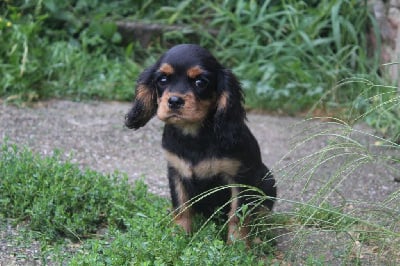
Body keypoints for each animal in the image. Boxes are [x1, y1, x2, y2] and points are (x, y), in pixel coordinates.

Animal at [126, 44, 276, 244]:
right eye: (162, 79)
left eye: (200, 82)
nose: (174, 101)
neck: (193, 134)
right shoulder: (176, 172)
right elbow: (181, 208)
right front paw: (178, 237)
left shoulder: (239, 177)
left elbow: (237, 214)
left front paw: (238, 245)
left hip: (268, 179)